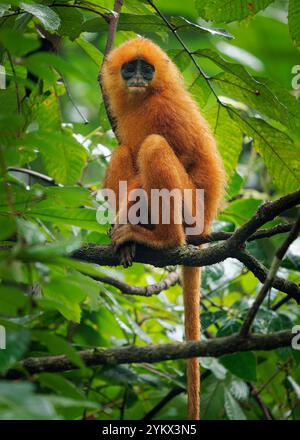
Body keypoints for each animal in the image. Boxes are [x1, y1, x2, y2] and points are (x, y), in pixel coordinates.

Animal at [101, 39, 225, 422]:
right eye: (130, 68)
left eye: (147, 69)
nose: (138, 78)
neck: (146, 98)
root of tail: (207, 224)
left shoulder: (166, 108)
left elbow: (182, 155)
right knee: (124, 150)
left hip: (189, 210)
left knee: (153, 145)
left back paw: (160, 238)